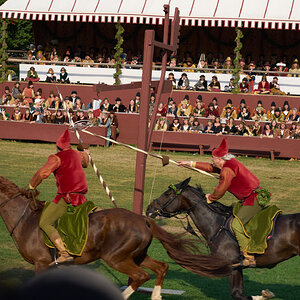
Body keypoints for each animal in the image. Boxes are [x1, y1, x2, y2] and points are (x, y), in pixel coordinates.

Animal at [0, 177, 232, 298]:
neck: (27, 219)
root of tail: (143, 219)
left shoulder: (41, 264)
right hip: (136, 255)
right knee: (161, 268)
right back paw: (156, 295)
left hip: (116, 258)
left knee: (141, 276)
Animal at [146, 178, 300, 300]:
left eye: (167, 194)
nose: (149, 208)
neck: (217, 224)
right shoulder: (237, 267)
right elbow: (239, 293)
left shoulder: (232, 265)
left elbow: (237, 294)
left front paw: (263, 295)